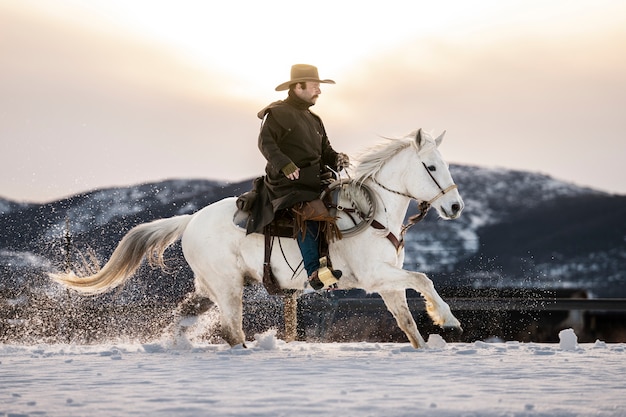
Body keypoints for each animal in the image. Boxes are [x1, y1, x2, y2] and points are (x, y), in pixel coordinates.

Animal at [51, 127, 464, 348]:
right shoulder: (374, 277)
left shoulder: (388, 283)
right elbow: (423, 279)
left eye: (445, 165)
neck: (373, 214)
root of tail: (191, 220)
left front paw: (428, 338)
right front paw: (447, 318)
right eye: (430, 167)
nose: (456, 206)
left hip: (211, 287)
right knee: (231, 329)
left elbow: (408, 321)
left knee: (186, 315)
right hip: (228, 286)